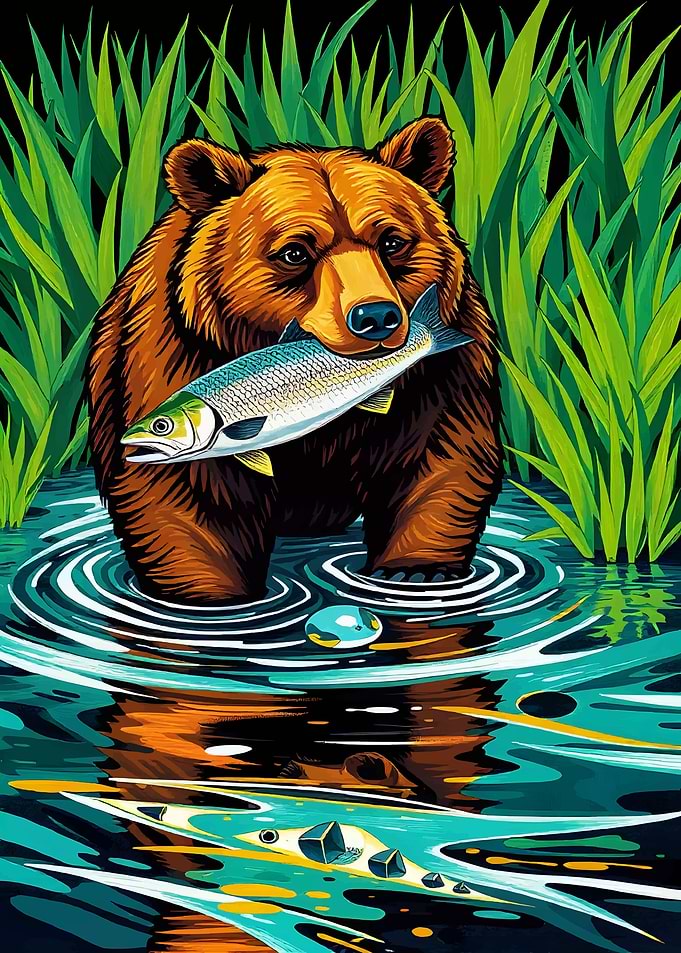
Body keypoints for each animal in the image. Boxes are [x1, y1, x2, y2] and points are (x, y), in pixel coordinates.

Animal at [87, 117, 502, 604]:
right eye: (295, 251)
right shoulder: (171, 352)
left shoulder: (435, 379)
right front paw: (212, 596)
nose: (377, 316)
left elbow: (435, 459)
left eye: (392, 241)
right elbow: (193, 496)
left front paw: (415, 571)